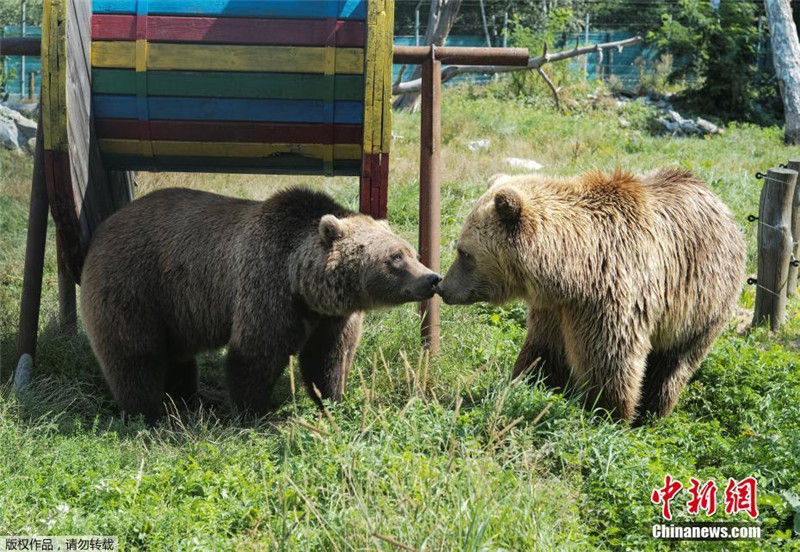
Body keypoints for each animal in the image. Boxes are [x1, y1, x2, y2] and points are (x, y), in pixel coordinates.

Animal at [81, 188, 440, 420]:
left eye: (413, 252)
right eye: (394, 257)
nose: (431, 278)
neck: (303, 285)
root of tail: (102, 229)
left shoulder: (330, 318)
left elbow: (328, 358)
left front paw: (333, 400)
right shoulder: (267, 288)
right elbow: (255, 355)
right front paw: (252, 411)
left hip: (175, 310)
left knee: (176, 355)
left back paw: (185, 398)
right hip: (135, 286)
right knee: (133, 354)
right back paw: (148, 412)